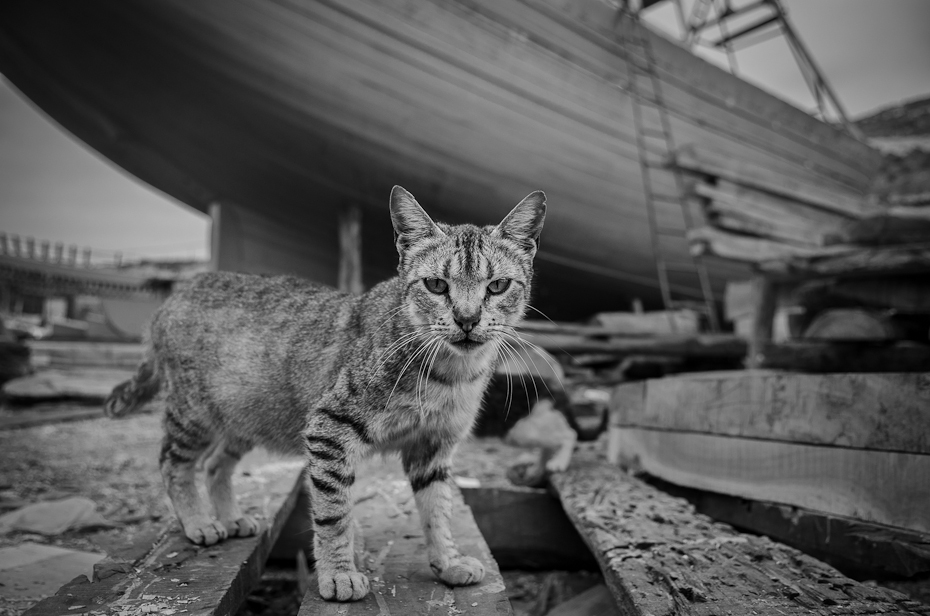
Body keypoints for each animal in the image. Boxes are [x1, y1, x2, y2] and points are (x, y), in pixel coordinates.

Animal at [103, 186, 544, 600]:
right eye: (436, 285)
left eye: (497, 286)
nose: (467, 319)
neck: (451, 375)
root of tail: (174, 295)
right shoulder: (330, 427)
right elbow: (335, 513)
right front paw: (339, 574)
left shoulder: (434, 445)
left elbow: (438, 509)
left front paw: (447, 562)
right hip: (193, 413)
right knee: (172, 462)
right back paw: (198, 522)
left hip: (246, 417)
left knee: (215, 465)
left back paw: (231, 518)